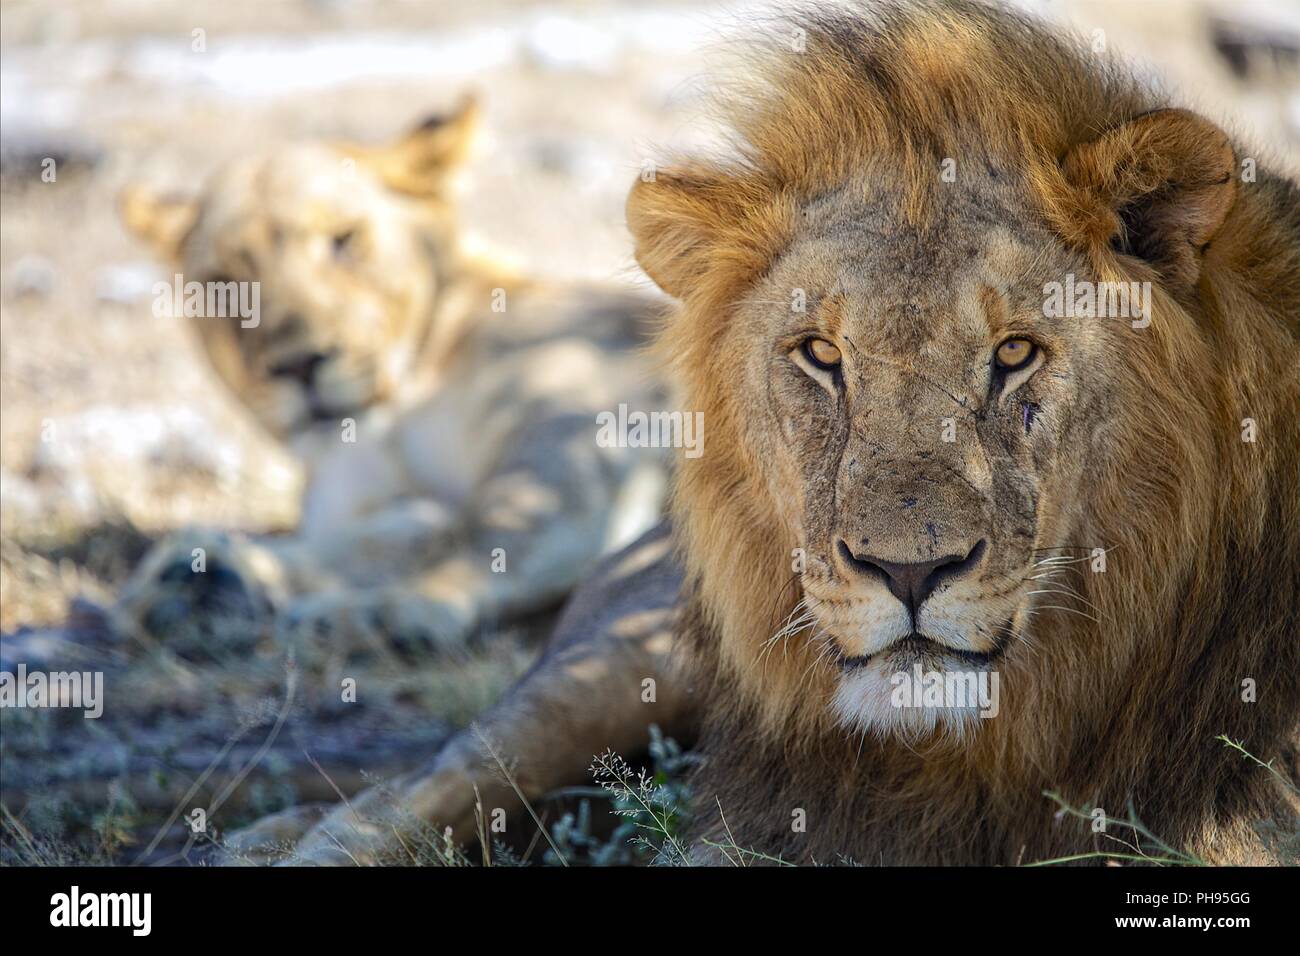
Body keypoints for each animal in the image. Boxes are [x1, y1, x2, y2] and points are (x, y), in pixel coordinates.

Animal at [115, 97, 665, 655]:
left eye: (343, 241)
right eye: (223, 283)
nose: (298, 364)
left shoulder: (585, 421)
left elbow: (491, 534)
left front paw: (385, 609)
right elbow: (387, 537)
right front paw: (211, 571)